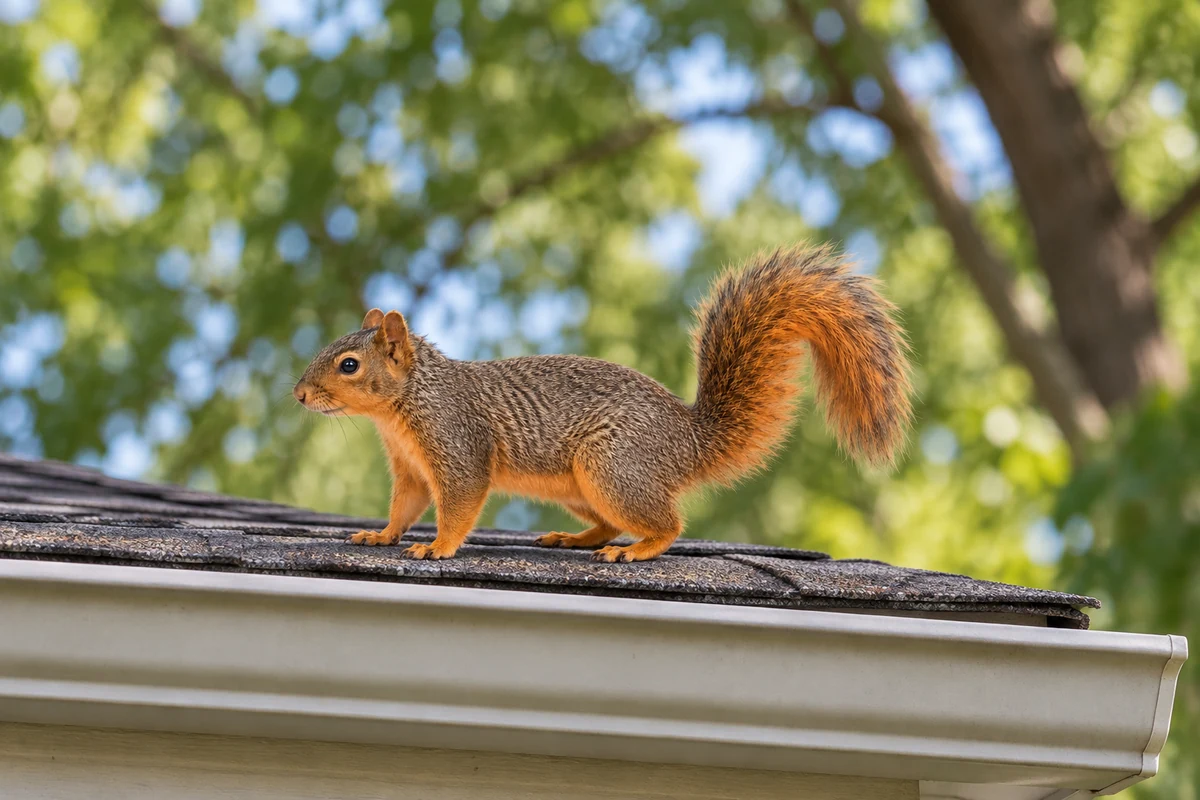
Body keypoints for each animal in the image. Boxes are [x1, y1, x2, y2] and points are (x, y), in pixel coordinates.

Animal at [293, 243, 912, 563]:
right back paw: (576, 538)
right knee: (610, 523)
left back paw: (637, 550)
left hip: (612, 465)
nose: (299, 394)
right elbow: (406, 505)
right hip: (583, 485)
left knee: (668, 523)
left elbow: (461, 502)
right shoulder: (411, 467)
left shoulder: (458, 443)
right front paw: (382, 535)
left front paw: (438, 548)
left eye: (349, 365)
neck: (403, 407)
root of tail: (689, 440)